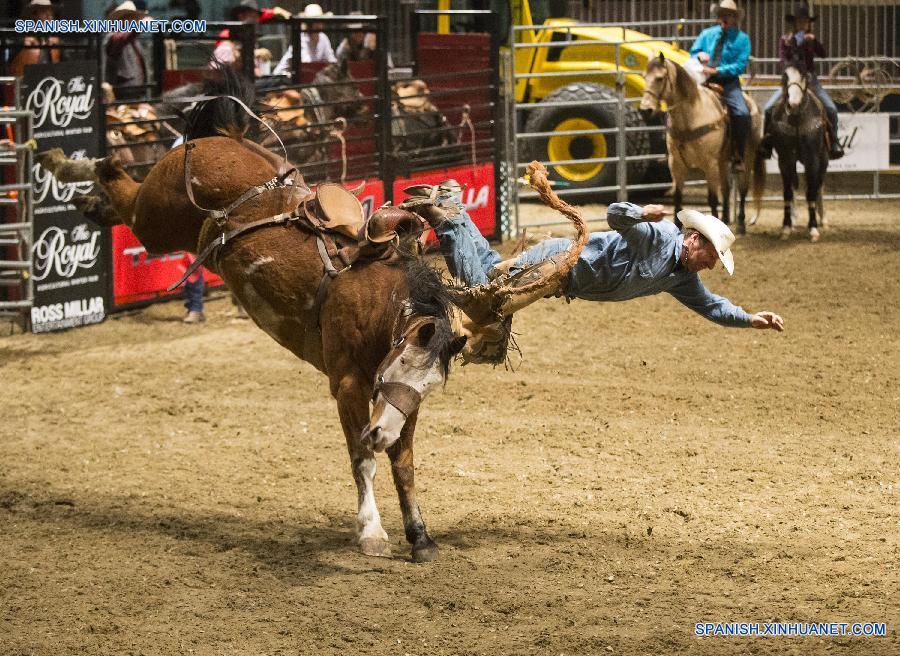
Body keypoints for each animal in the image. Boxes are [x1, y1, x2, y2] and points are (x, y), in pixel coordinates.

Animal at [644, 53, 764, 233]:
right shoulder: (676, 164)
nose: (645, 109)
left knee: (742, 189)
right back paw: (725, 220)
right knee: (726, 189)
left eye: (659, 78)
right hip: (722, 162)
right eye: (644, 76)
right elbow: (678, 197)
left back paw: (741, 224)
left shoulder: (709, 164)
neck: (691, 119)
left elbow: (712, 199)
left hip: (747, 156)